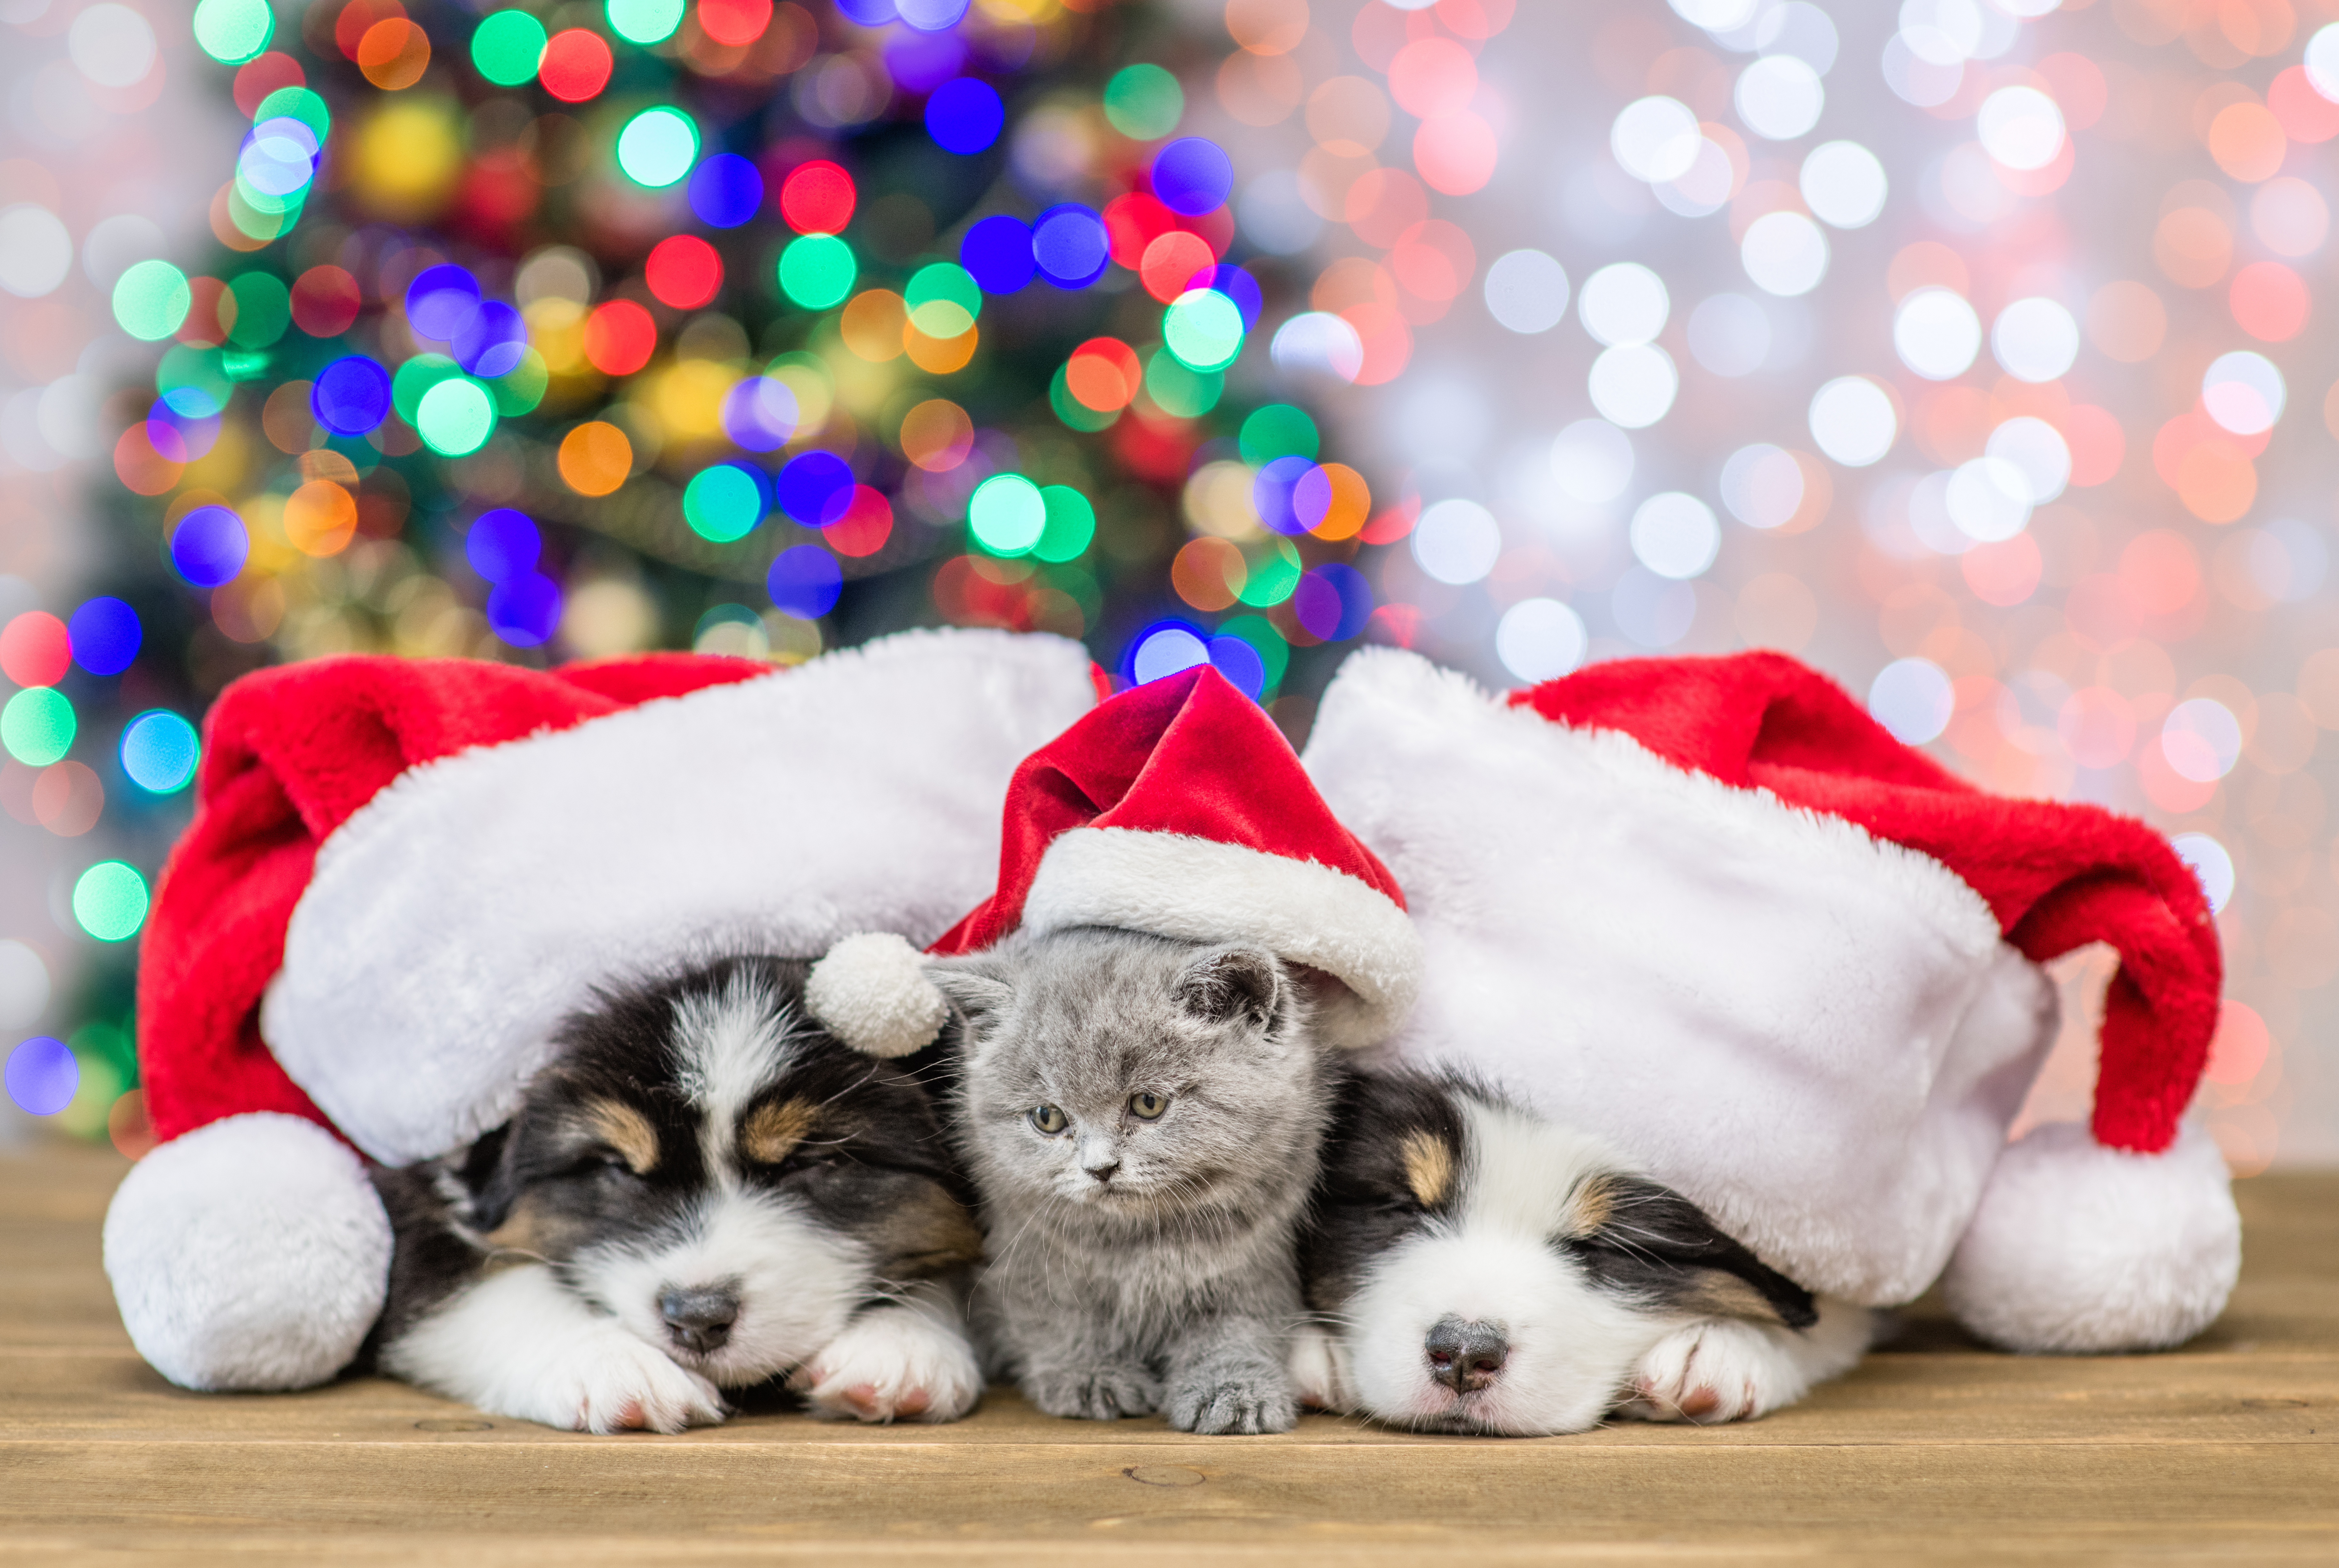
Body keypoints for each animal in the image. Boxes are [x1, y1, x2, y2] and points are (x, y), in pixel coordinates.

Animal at [367, 959, 987, 1441]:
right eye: (615, 1167)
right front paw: (611, 1363)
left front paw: (901, 1345)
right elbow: (487, 1287)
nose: (697, 1319)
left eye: (813, 1161)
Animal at [935, 936, 1338, 1441]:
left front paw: (1234, 1391)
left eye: (1148, 1104)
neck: (1137, 1242)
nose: (1100, 1169)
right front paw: (1091, 1376)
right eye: (1047, 1117)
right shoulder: (1027, 1248)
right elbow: (1054, 1316)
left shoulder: (1255, 1258)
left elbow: (1239, 1325)